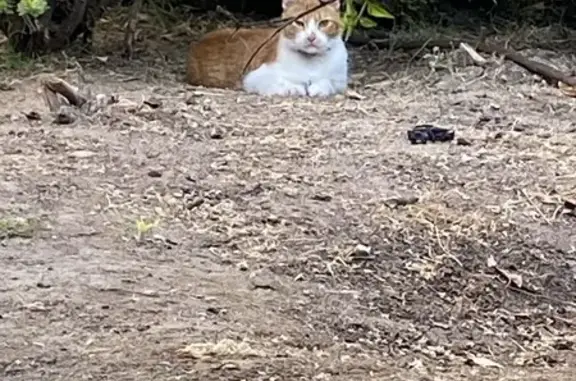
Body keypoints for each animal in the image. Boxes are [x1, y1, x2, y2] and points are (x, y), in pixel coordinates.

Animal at [187, 0, 346, 97]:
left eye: (324, 23)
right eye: (299, 23)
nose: (311, 37)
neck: (311, 62)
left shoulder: (339, 80)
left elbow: (328, 82)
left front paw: (318, 88)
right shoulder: (253, 77)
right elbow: (282, 82)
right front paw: (295, 87)